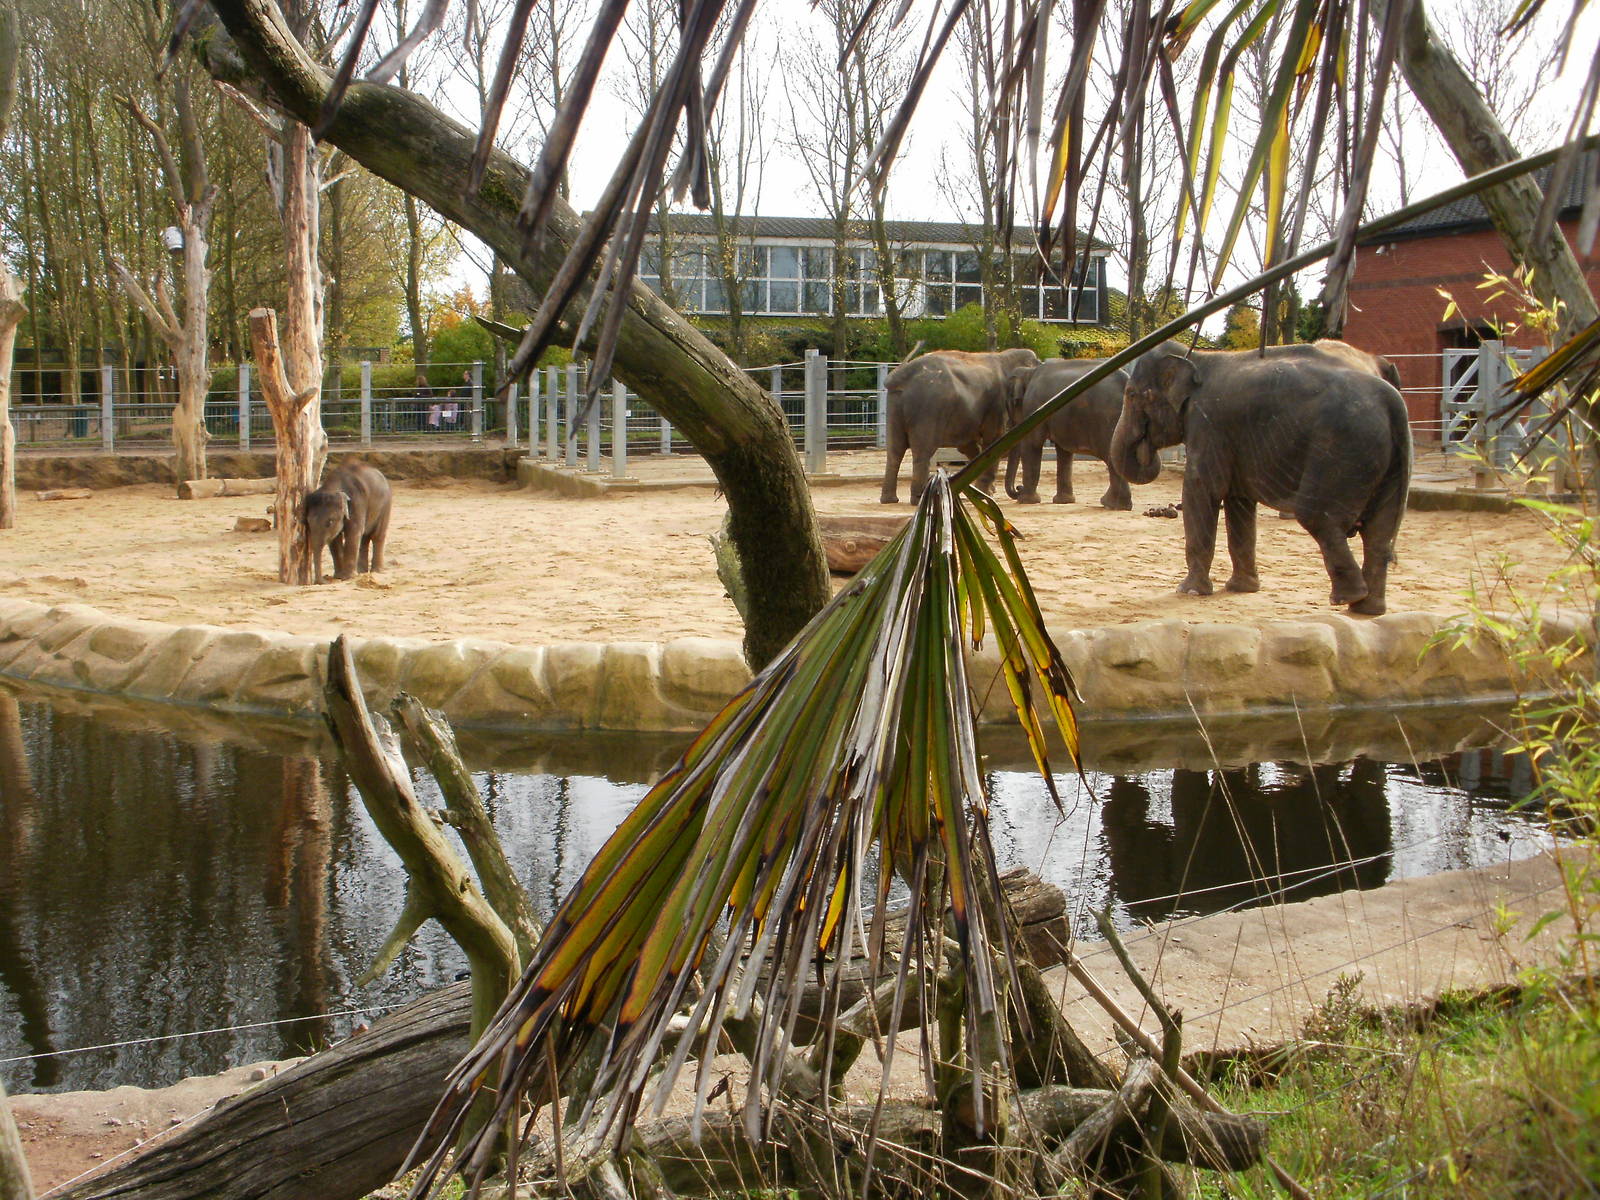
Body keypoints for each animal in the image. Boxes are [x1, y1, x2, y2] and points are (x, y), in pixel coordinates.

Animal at [880, 347, 1040, 503]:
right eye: (1018, 401)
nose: (1019, 488)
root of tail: (900, 375)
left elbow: (968, 446)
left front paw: (986, 491)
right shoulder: (997, 405)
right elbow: (994, 441)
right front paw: (985, 495)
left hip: (894, 406)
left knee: (895, 451)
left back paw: (889, 500)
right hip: (928, 408)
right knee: (922, 452)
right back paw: (917, 499)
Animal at [1002, 357, 1134, 509]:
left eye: (1011, 405)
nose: (1019, 488)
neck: (1030, 372)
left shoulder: (1034, 406)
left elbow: (1032, 444)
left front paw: (1026, 501)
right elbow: (1063, 452)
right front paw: (1064, 501)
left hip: (1109, 422)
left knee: (1112, 457)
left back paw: (1110, 504)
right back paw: (1117, 505)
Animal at [1110, 340, 1411, 615]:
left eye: (1132, 395)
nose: (1145, 446)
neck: (1197, 357)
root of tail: (1394, 402)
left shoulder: (1208, 425)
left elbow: (1202, 489)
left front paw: (1189, 591)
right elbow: (1238, 501)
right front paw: (1241, 589)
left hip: (1343, 448)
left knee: (1318, 517)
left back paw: (1347, 598)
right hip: (1385, 458)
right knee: (1379, 534)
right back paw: (1368, 609)